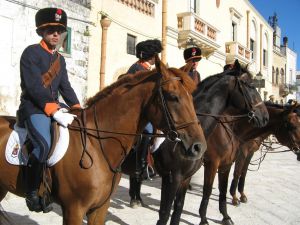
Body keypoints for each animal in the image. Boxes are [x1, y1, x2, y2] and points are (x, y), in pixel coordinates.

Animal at [0, 55, 206, 225]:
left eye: (192, 97)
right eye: (173, 97)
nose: (199, 147)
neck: (97, 146)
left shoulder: (100, 208)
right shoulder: (74, 210)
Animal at [122, 59, 270, 225]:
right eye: (250, 85)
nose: (265, 117)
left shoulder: (189, 177)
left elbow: (178, 209)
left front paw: (224, 216)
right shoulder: (174, 177)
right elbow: (165, 213)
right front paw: (206, 218)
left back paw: (137, 199)